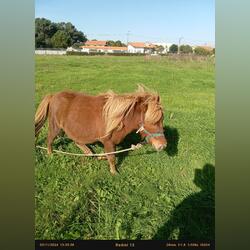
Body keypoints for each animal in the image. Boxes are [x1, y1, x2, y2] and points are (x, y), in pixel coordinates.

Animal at [34, 86, 166, 174]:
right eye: (153, 121)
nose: (163, 145)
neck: (119, 118)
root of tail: (53, 96)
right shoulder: (108, 141)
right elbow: (112, 158)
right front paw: (114, 173)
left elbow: (110, 154)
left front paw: (101, 157)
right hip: (55, 127)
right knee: (49, 140)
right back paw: (50, 154)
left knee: (77, 141)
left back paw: (89, 153)